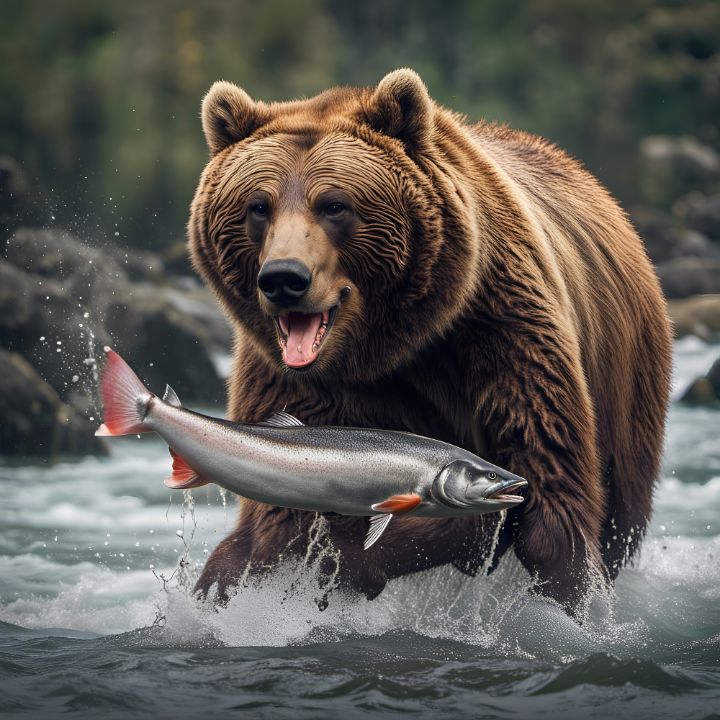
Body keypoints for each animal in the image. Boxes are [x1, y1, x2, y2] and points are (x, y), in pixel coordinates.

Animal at [187, 67, 676, 612]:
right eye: (258, 206)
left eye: (334, 204)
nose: (283, 278)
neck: (392, 346)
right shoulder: (297, 386)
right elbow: (278, 524)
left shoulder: (502, 334)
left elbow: (551, 493)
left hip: (628, 389)